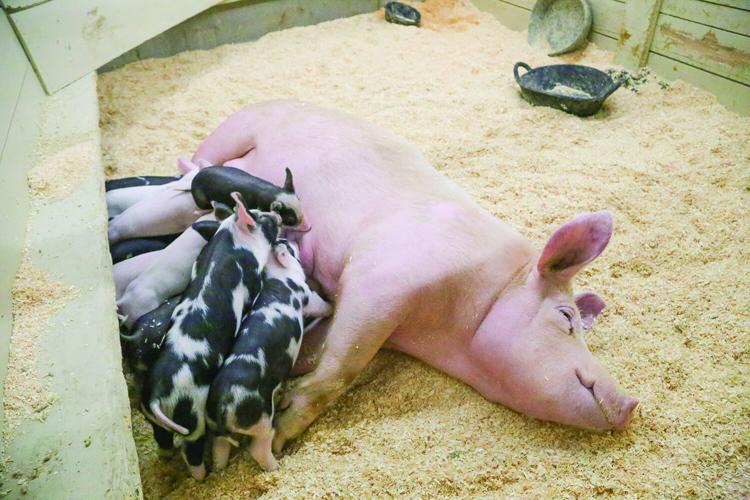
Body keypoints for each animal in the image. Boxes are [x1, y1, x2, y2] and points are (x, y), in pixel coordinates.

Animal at [141, 194, 279, 480]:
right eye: (262, 219)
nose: (277, 216)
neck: (232, 241)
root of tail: (157, 396)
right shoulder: (252, 279)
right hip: (191, 418)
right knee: (191, 449)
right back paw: (202, 477)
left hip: (152, 418)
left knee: (162, 439)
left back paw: (167, 457)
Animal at [206, 239, 332, 472]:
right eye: (288, 248)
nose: (293, 241)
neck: (277, 277)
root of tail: (223, 406)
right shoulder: (306, 295)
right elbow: (321, 306)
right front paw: (333, 305)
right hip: (261, 420)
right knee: (258, 448)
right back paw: (276, 467)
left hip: (213, 424)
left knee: (219, 447)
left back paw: (219, 469)